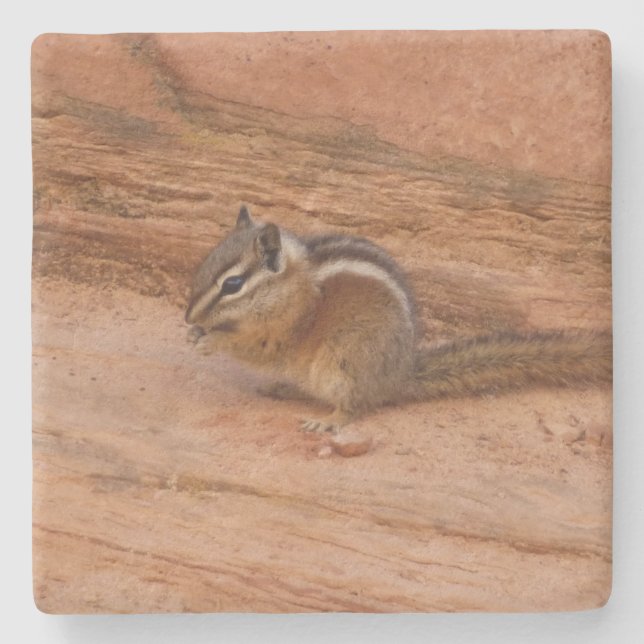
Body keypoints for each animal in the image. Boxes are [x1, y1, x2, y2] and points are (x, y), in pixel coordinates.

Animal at [185, 206, 612, 434]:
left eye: (233, 284)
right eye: (204, 264)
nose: (187, 315)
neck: (291, 284)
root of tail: (400, 375)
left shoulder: (286, 330)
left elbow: (255, 348)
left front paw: (211, 340)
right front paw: (194, 333)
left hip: (343, 361)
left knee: (355, 405)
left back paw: (329, 421)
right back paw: (285, 389)